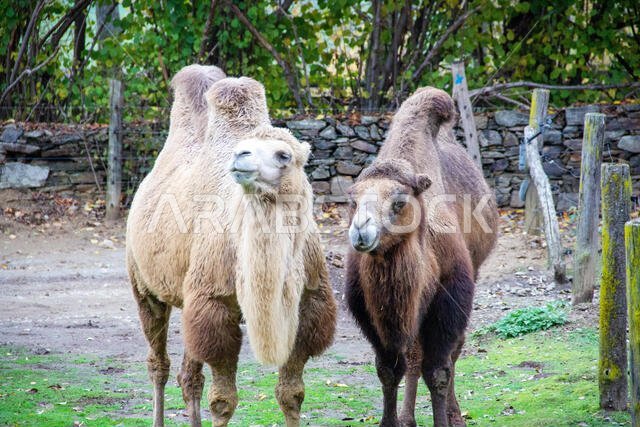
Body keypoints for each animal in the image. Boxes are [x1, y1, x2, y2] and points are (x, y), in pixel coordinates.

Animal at [126, 64, 336, 427]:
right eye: (245, 146)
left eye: (284, 155)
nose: (240, 156)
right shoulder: (213, 304)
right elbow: (224, 401)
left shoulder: (310, 303)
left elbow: (291, 394)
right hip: (144, 284)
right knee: (159, 363)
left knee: (189, 376)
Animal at [345, 87, 498, 427]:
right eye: (353, 201)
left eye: (399, 202)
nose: (361, 231)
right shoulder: (373, 316)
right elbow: (389, 370)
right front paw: (392, 421)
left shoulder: (449, 300)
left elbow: (438, 371)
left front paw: (445, 419)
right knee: (415, 356)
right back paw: (409, 416)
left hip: (474, 272)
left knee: (454, 350)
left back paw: (455, 414)